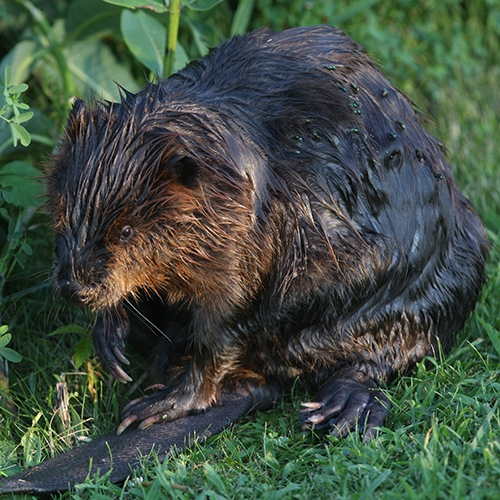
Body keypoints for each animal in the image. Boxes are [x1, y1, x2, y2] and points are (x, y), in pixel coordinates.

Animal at [46, 25, 488, 444]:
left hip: (445, 285)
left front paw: (161, 405)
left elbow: (225, 322)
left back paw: (341, 407)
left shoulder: (251, 241)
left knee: (378, 358)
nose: (75, 288)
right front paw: (110, 337)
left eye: (126, 230)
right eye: (63, 211)